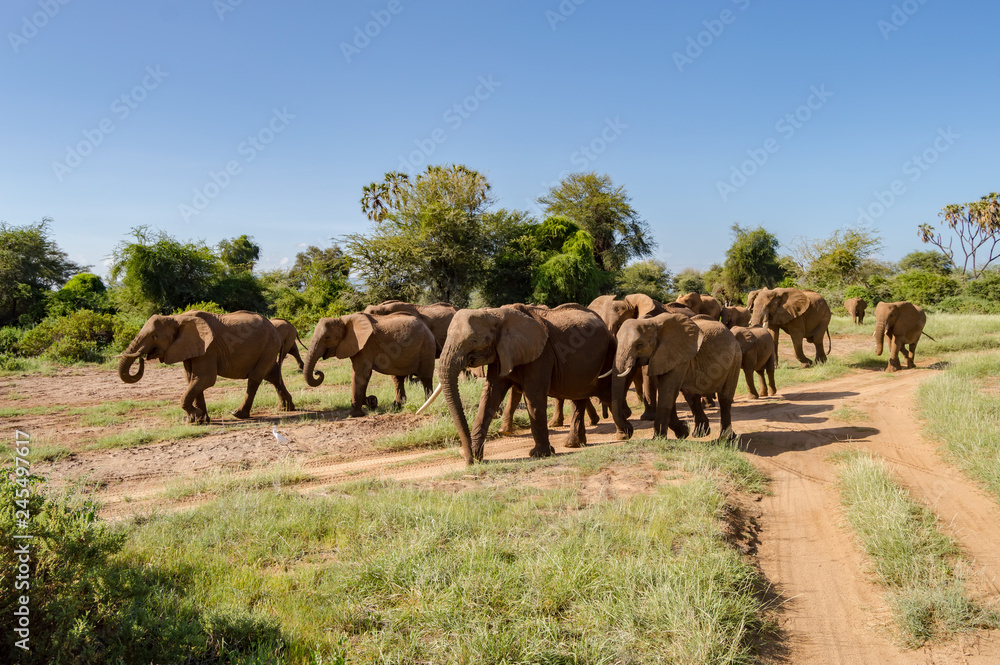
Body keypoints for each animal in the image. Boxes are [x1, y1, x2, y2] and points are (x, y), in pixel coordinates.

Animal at [118, 310, 294, 423]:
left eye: (155, 336)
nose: (142, 357)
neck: (177, 318)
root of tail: (276, 331)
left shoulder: (208, 349)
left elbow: (205, 379)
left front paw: (196, 417)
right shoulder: (189, 348)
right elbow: (192, 379)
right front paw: (199, 419)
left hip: (268, 347)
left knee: (255, 378)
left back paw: (238, 414)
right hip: (267, 349)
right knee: (272, 375)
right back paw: (286, 409)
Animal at [303, 312, 436, 417]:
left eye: (327, 337)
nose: (317, 372)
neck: (343, 320)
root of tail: (427, 327)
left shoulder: (366, 345)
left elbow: (360, 373)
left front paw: (354, 414)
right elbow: (364, 374)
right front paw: (371, 402)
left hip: (427, 347)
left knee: (425, 377)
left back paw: (426, 403)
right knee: (397, 378)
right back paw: (396, 406)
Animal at [422, 303, 616, 464]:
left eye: (474, 341)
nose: (468, 459)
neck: (495, 314)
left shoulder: (541, 355)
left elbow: (534, 396)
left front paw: (540, 454)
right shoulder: (501, 352)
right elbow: (490, 395)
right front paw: (476, 455)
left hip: (607, 352)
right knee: (579, 397)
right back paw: (574, 444)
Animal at [612, 314, 741, 441]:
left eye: (639, 345)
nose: (628, 431)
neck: (653, 322)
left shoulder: (678, 357)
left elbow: (667, 392)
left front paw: (658, 439)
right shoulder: (661, 357)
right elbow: (668, 392)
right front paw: (683, 432)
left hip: (735, 359)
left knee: (724, 398)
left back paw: (727, 438)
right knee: (692, 397)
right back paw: (700, 434)